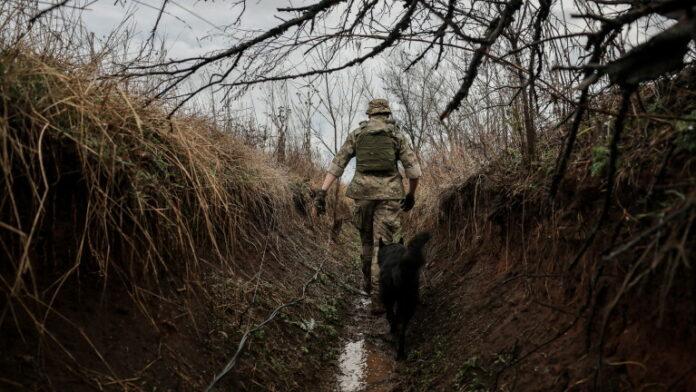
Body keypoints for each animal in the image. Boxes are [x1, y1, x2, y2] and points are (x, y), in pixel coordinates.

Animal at [380, 231, 430, 360]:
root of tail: (402, 268)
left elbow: (391, 315)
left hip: (391, 297)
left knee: (394, 318)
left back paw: (393, 333)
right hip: (409, 301)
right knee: (402, 327)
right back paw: (401, 352)